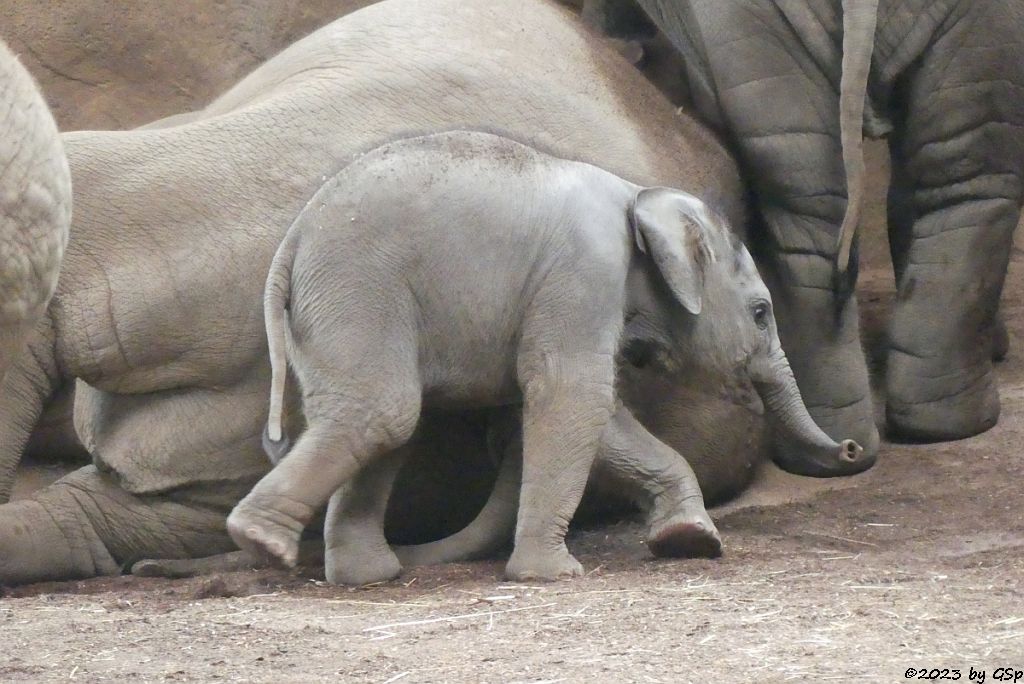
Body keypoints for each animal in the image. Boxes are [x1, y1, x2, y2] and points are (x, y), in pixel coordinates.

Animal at [226, 129, 864, 581]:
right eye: (760, 312)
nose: (852, 448)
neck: (639, 197)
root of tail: (292, 244)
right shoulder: (583, 273)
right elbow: (573, 397)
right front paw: (553, 576)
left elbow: (599, 414)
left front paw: (690, 542)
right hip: (358, 289)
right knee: (385, 412)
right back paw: (261, 543)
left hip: (334, 312)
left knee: (380, 424)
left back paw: (365, 574)